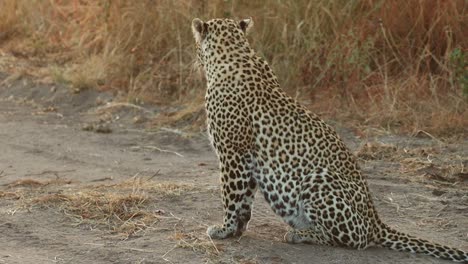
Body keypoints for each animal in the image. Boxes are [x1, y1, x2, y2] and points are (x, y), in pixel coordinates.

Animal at [190, 17, 468, 262]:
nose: (194, 59)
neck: (233, 53)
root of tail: (376, 221)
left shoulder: (232, 153)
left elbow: (230, 195)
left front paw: (223, 229)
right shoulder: (247, 158)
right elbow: (245, 198)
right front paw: (237, 230)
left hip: (317, 180)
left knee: (354, 239)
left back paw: (299, 234)